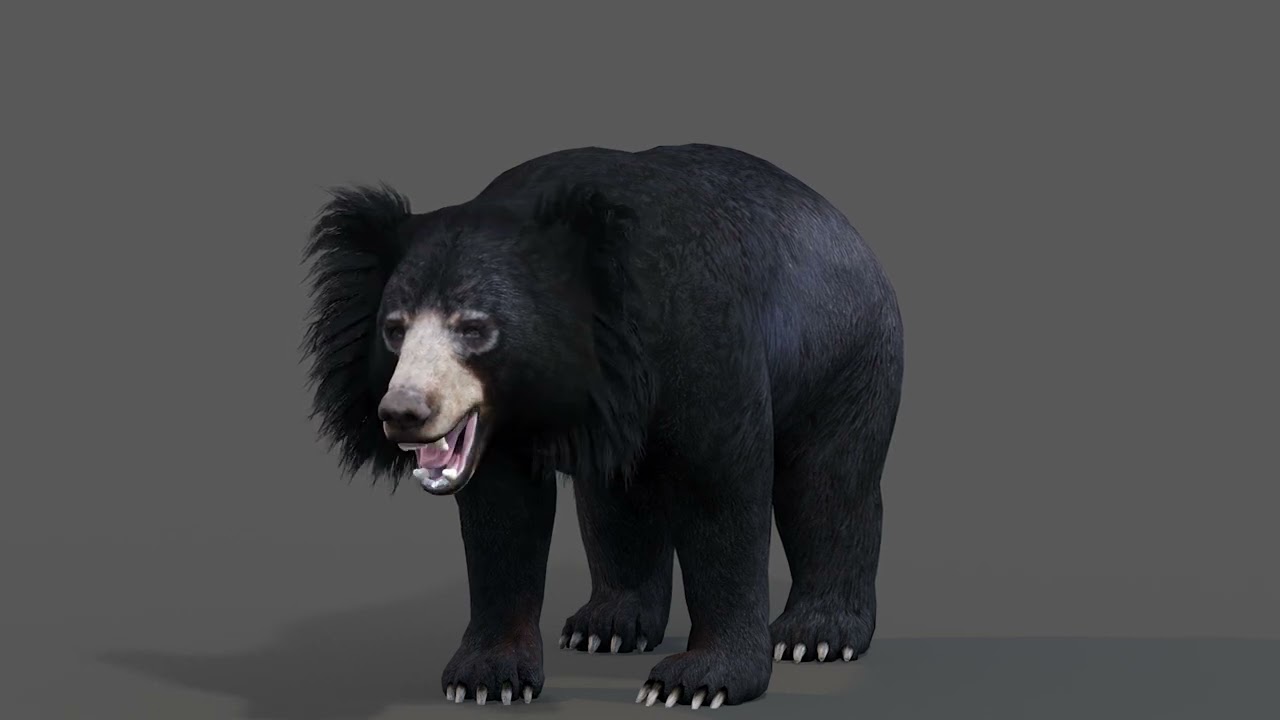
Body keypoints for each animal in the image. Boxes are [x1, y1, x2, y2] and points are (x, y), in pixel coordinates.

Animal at [301, 143, 904, 708]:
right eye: (395, 330)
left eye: (475, 329)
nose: (404, 413)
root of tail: (853, 234)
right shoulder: (511, 421)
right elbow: (503, 517)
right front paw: (486, 679)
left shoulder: (696, 337)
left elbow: (719, 489)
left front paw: (695, 682)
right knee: (620, 500)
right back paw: (606, 626)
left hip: (844, 351)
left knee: (828, 483)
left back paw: (814, 637)